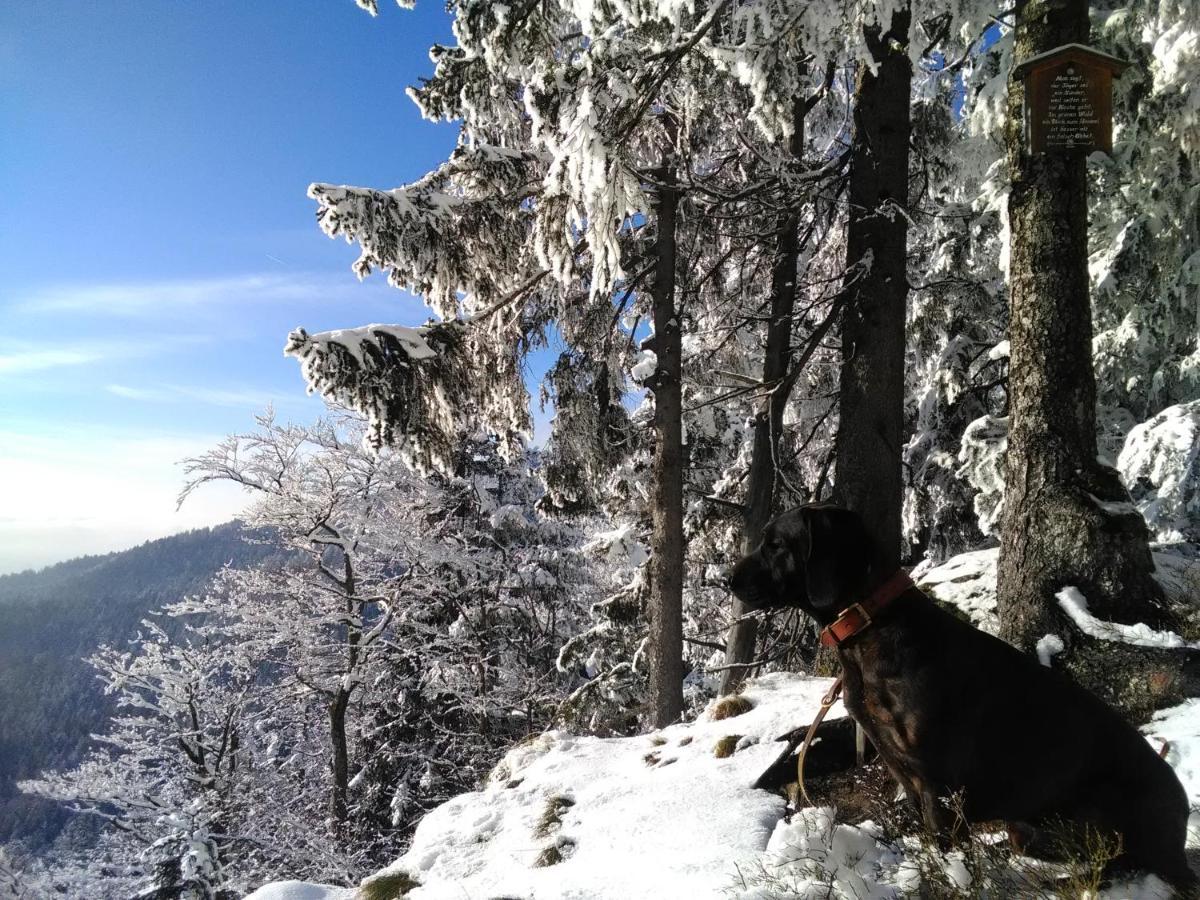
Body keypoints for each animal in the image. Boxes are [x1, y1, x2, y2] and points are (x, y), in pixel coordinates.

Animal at [724, 504, 1195, 892]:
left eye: (775, 544)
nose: (725, 580)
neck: (870, 632)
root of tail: (1183, 811)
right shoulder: (904, 772)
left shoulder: (940, 781)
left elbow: (948, 856)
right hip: (1030, 828)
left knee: (1125, 864)